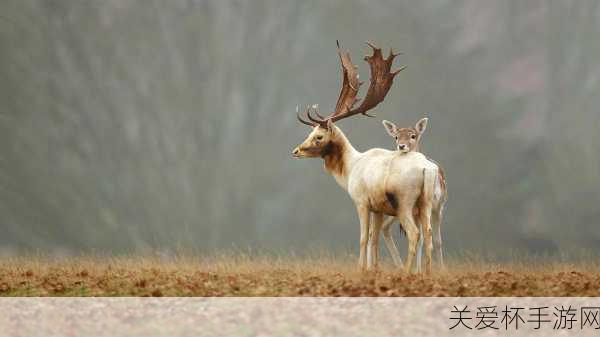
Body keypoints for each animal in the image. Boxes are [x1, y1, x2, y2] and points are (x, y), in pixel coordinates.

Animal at [292, 42, 440, 272]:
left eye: (318, 136)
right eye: (310, 132)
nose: (296, 151)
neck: (350, 169)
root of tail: (428, 168)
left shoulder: (361, 201)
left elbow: (363, 237)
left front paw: (361, 269)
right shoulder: (378, 208)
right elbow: (374, 238)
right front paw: (374, 269)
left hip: (405, 202)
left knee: (414, 234)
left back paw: (407, 273)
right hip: (425, 203)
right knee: (429, 234)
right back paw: (426, 273)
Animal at [378, 117, 448, 270]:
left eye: (413, 136)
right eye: (396, 136)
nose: (401, 146)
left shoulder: (439, 206)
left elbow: (438, 240)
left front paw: (441, 270)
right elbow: (421, 238)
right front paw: (418, 270)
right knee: (383, 228)